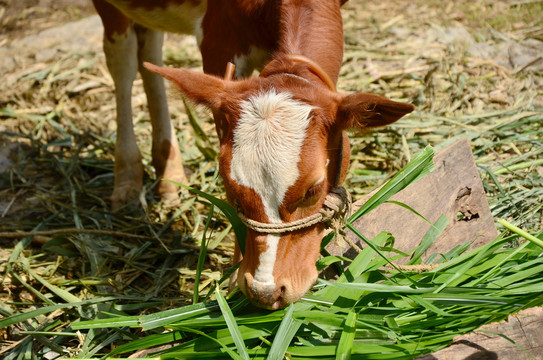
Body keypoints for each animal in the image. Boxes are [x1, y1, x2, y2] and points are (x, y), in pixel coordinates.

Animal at [94, 0, 416, 310]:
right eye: (229, 187)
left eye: (312, 190)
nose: (265, 291)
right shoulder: (218, 42)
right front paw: (234, 279)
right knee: (123, 60)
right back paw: (128, 180)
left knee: (149, 51)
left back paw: (169, 173)